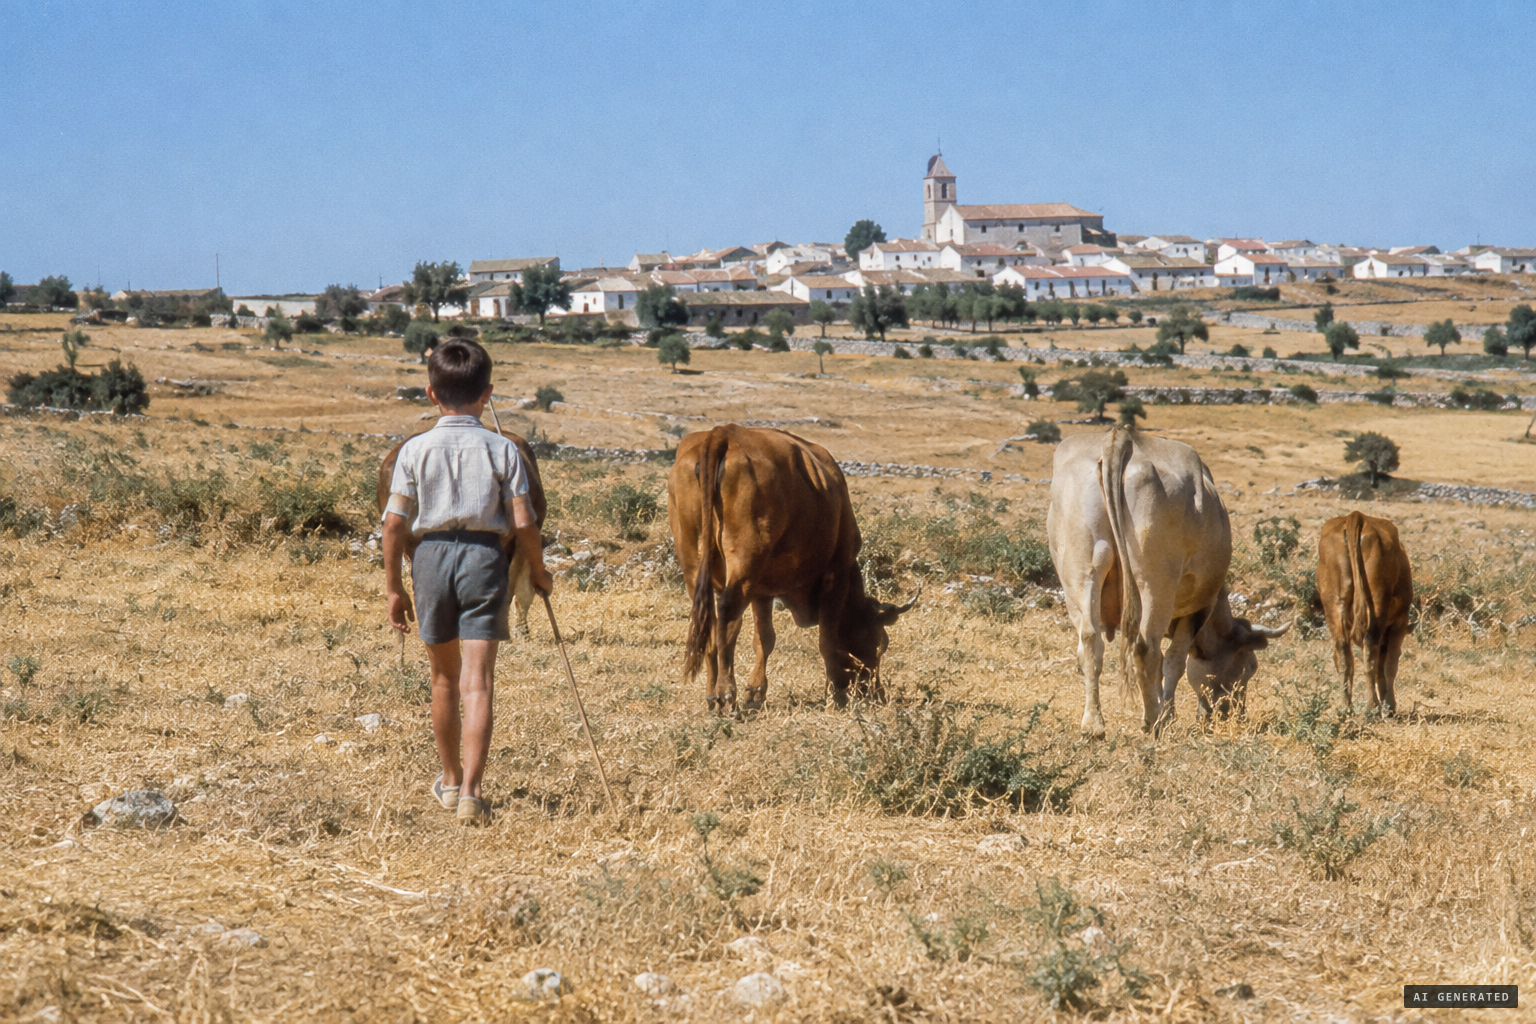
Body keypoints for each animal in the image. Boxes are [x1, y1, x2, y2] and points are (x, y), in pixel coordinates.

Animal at [668, 424, 917, 715]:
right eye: (881, 644)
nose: (877, 693)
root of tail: (723, 433)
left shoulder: (762, 590)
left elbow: (764, 638)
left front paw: (756, 692)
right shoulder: (836, 574)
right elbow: (827, 640)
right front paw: (837, 692)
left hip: (693, 561)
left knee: (708, 622)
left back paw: (711, 692)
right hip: (744, 562)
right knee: (727, 613)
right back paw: (725, 693)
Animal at [1047, 427, 1289, 736]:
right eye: (1250, 666)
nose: (1233, 714)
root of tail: (1120, 437)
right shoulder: (1197, 609)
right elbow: (1175, 663)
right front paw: (1168, 714)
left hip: (1081, 571)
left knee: (1090, 641)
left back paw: (1093, 724)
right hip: (1155, 583)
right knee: (1146, 648)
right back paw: (1152, 720)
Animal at [1316, 511, 1412, 715]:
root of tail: (1356, 516)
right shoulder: (1399, 623)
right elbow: (1389, 663)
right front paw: (1389, 705)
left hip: (1335, 602)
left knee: (1343, 654)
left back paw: (1346, 707)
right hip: (1377, 603)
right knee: (1370, 651)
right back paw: (1372, 707)